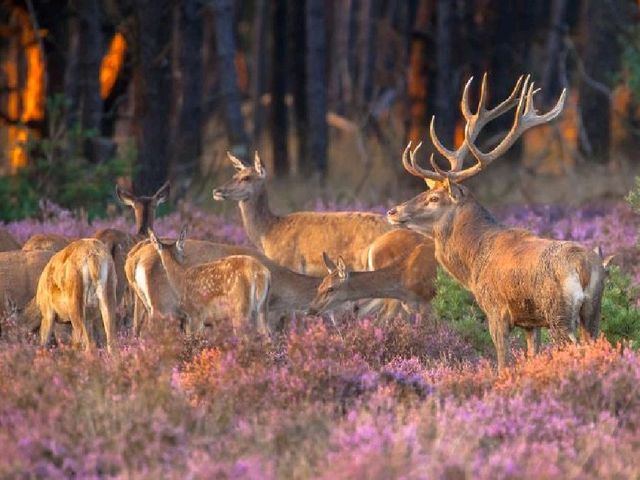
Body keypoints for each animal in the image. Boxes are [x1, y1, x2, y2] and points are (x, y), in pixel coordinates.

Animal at [384, 74, 604, 372]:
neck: (473, 261)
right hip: (593, 310)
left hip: (558, 312)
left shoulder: (496, 310)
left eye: (433, 198)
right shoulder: (530, 322)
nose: (393, 211)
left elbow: (502, 362)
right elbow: (531, 353)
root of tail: (584, 266)